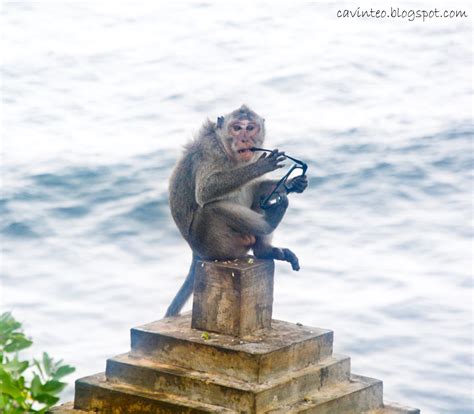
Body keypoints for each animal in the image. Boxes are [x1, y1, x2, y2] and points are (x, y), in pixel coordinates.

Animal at [166, 105, 308, 316]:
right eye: (237, 128)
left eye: (250, 128)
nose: (244, 140)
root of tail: (196, 254)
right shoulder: (210, 150)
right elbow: (206, 190)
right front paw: (260, 167)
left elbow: (256, 188)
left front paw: (294, 182)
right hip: (215, 244)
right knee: (212, 209)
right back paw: (269, 222)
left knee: (256, 196)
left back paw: (264, 250)